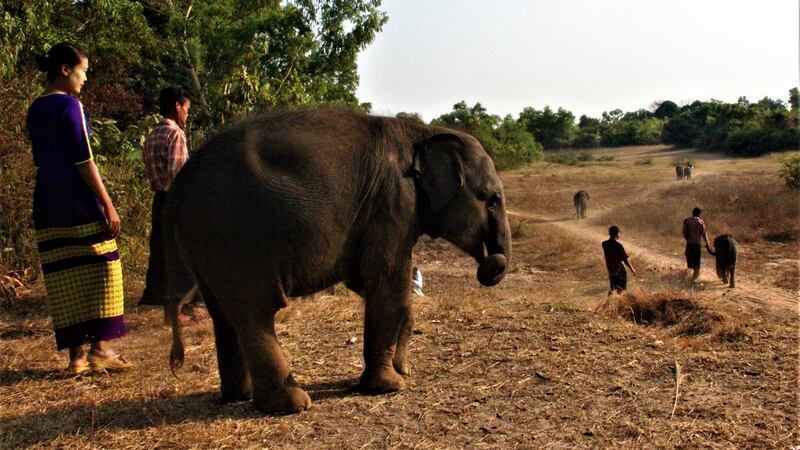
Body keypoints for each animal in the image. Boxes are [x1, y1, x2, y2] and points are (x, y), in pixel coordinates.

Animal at [163, 108, 512, 414]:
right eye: (493, 200)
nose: (492, 262)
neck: (423, 132)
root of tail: (179, 183)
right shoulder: (393, 204)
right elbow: (388, 281)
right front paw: (390, 386)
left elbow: (368, 283)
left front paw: (403, 369)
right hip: (232, 235)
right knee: (256, 312)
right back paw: (290, 405)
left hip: (205, 242)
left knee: (223, 314)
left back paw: (238, 396)